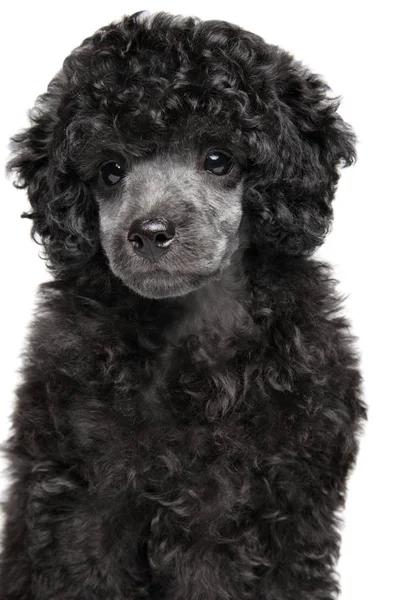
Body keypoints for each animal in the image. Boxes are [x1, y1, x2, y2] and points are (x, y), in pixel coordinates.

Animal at [0, 10, 368, 600]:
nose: (150, 233)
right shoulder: (86, 494)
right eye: (110, 170)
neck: (193, 324)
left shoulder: (292, 495)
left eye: (218, 160)